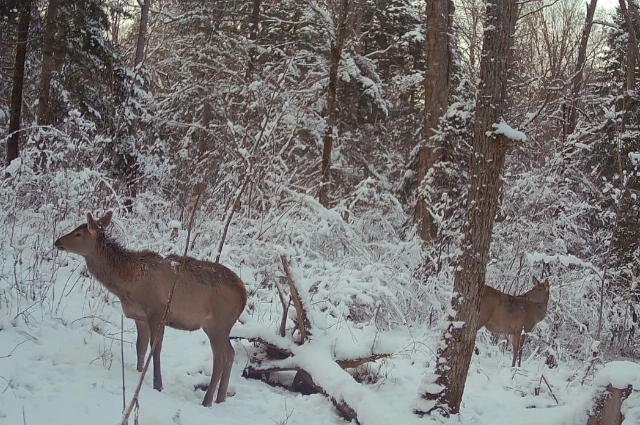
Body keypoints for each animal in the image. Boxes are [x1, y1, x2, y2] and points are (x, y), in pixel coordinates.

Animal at [54, 211, 248, 404]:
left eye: (78, 234)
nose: (57, 241)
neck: (127, 283)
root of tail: (244, 294)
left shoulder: (158, 311)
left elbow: (156, 348)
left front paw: (158, 385)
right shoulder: (140, 316)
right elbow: (140, 346)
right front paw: (140, 372)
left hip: (219, 322)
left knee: (220, 358)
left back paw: (207, 401)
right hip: (218, 326)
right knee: (230, 353)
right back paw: (220, 398)